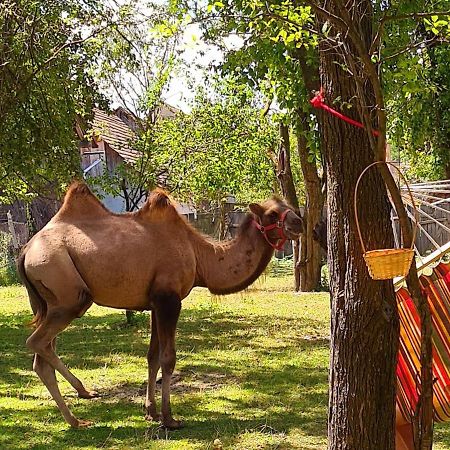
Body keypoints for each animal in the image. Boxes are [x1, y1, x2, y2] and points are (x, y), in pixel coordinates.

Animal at [16, 182, 302, 428]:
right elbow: (168, 358)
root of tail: (26, 250)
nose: (299, 221)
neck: (200, 257)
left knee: (42, 356)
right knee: (37, 342)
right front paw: (169, 418)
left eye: (287, 205)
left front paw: (150, 411)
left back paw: (79, 408)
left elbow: (152, 356)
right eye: (273, 214)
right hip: (68, 293)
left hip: (46, 304)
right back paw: (78, 411)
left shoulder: (154, 303)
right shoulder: (169, 300)